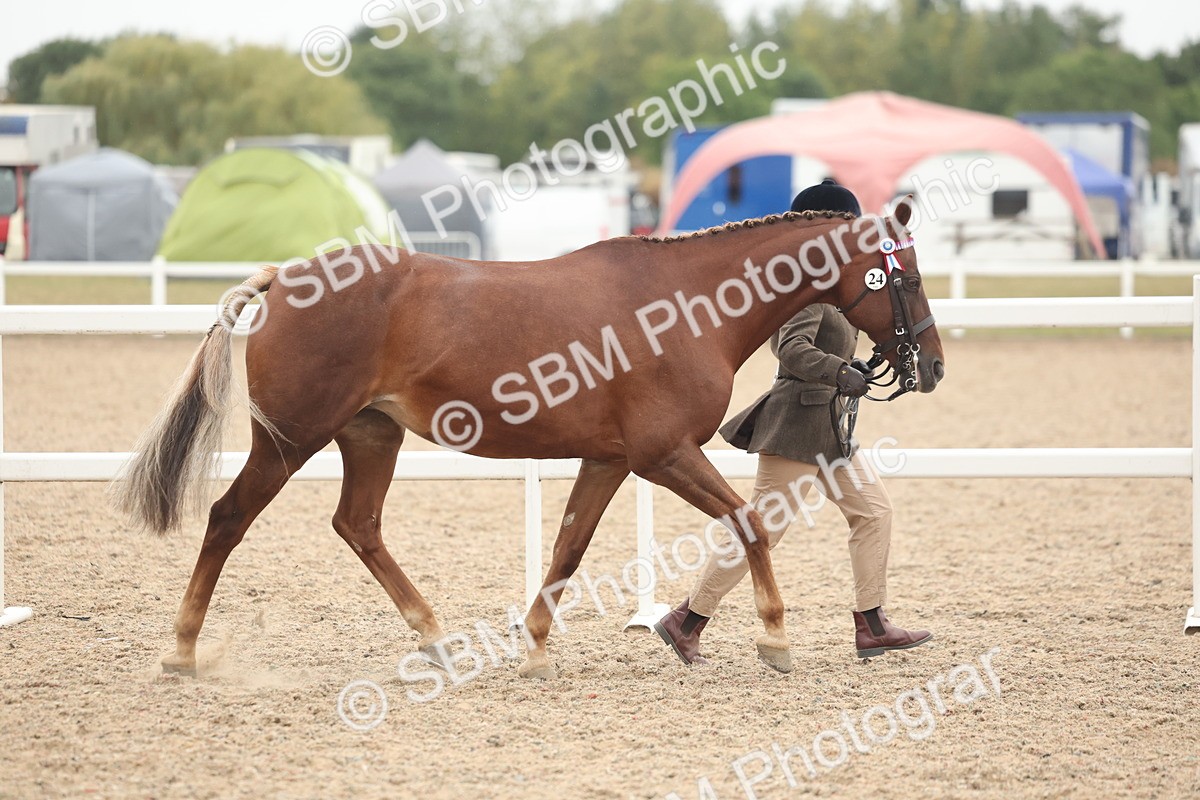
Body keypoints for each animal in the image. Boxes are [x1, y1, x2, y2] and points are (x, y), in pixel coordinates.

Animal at [112, 201, 944, 679]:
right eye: (904, 277)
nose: (930, 366)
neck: (687, 306)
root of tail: (286, 278)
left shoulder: (610, 460)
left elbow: (569, 547)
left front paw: (538, 646)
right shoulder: (663, 454)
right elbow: (747, 525)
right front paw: (774, 641)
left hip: (370, 436)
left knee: (359, 525)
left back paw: (436, 641)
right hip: (290, 441)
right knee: (228, 520)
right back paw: (181, 651)